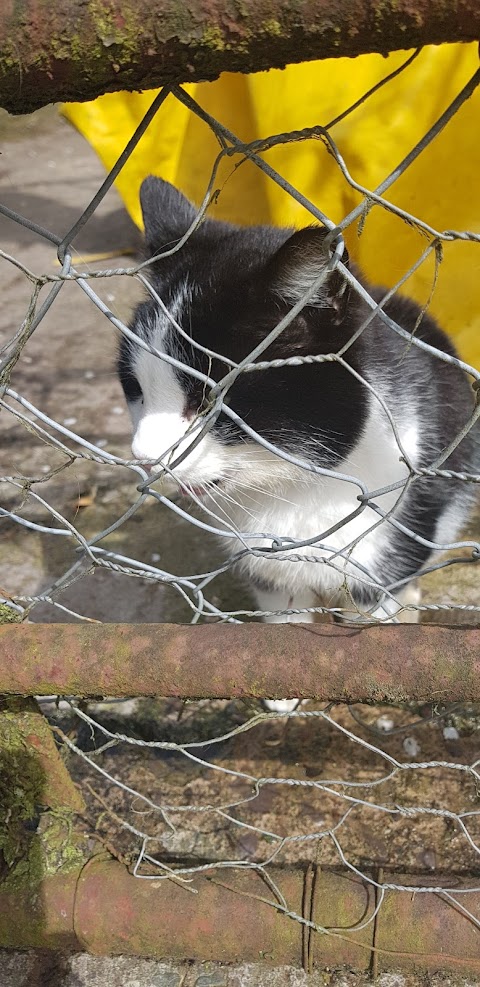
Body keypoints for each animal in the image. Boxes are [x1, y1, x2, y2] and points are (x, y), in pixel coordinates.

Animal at [118, 175, 478, 668]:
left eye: (211, 399)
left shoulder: (390, 545)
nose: (144, 456)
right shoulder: (267, 569)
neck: (294, 491)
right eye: (135, 387)